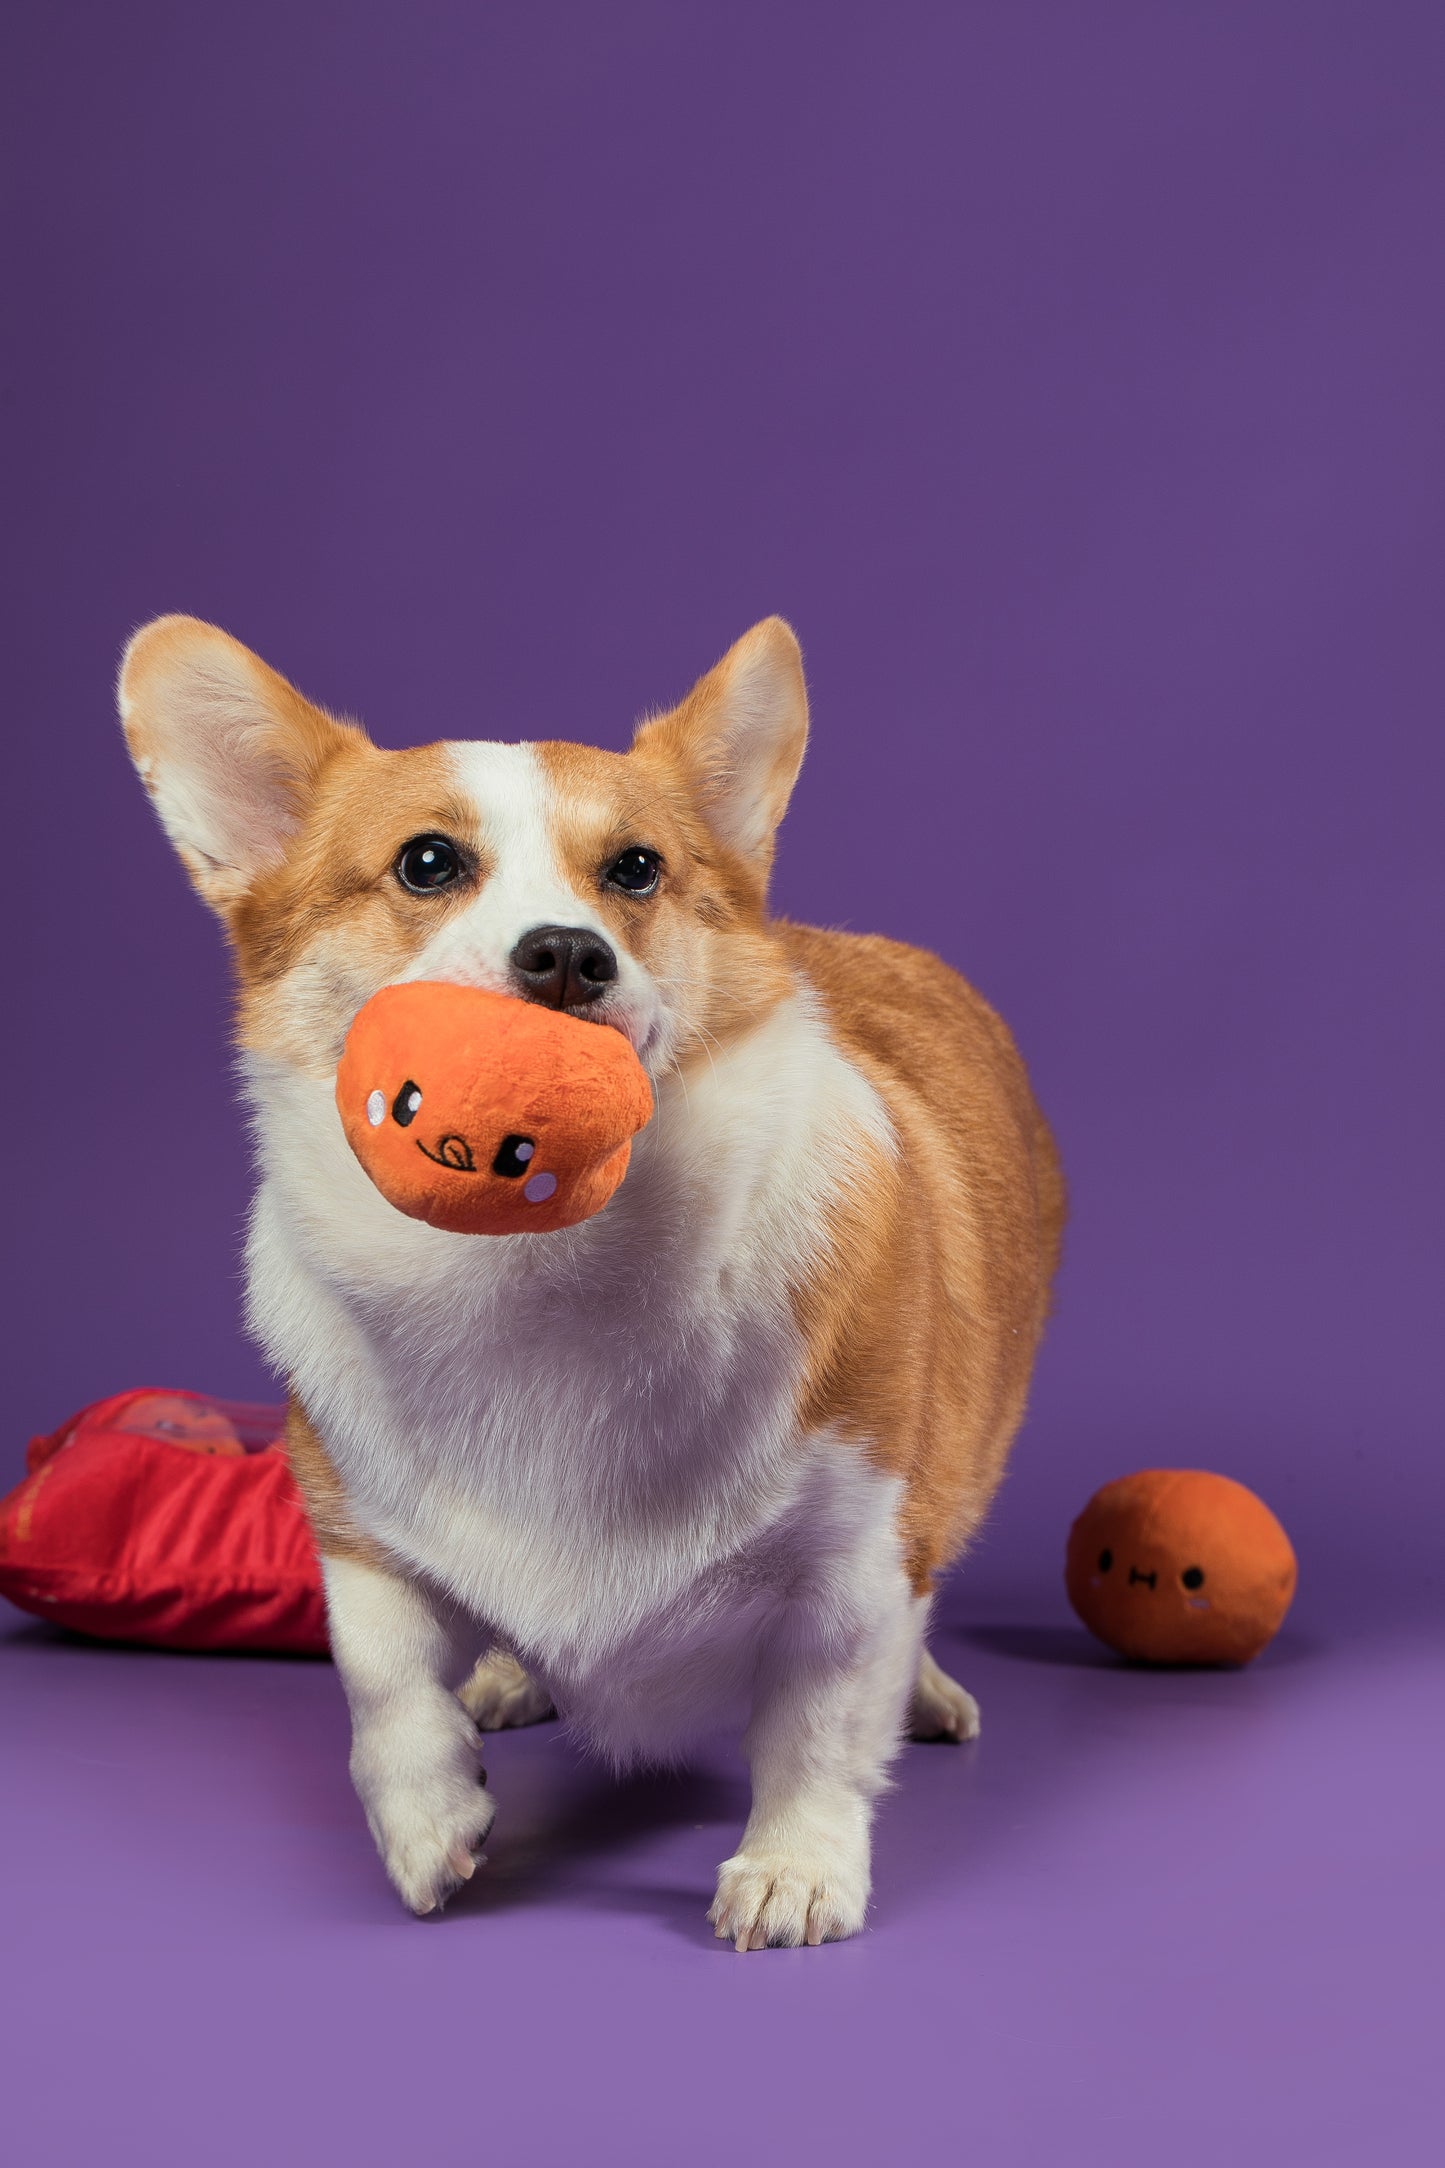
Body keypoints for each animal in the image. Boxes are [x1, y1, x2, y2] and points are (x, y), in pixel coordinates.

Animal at [121, 615, 1061, 1951]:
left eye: (635, 868)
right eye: (425, 863)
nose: (567, 951)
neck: (540, 1268)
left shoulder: (854, 1554)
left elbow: (820, 1724)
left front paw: (795, 1867)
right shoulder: (347, 1516)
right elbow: (382, 1671)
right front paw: (426, 1818)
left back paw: (922, 1694)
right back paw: (510, 1674)